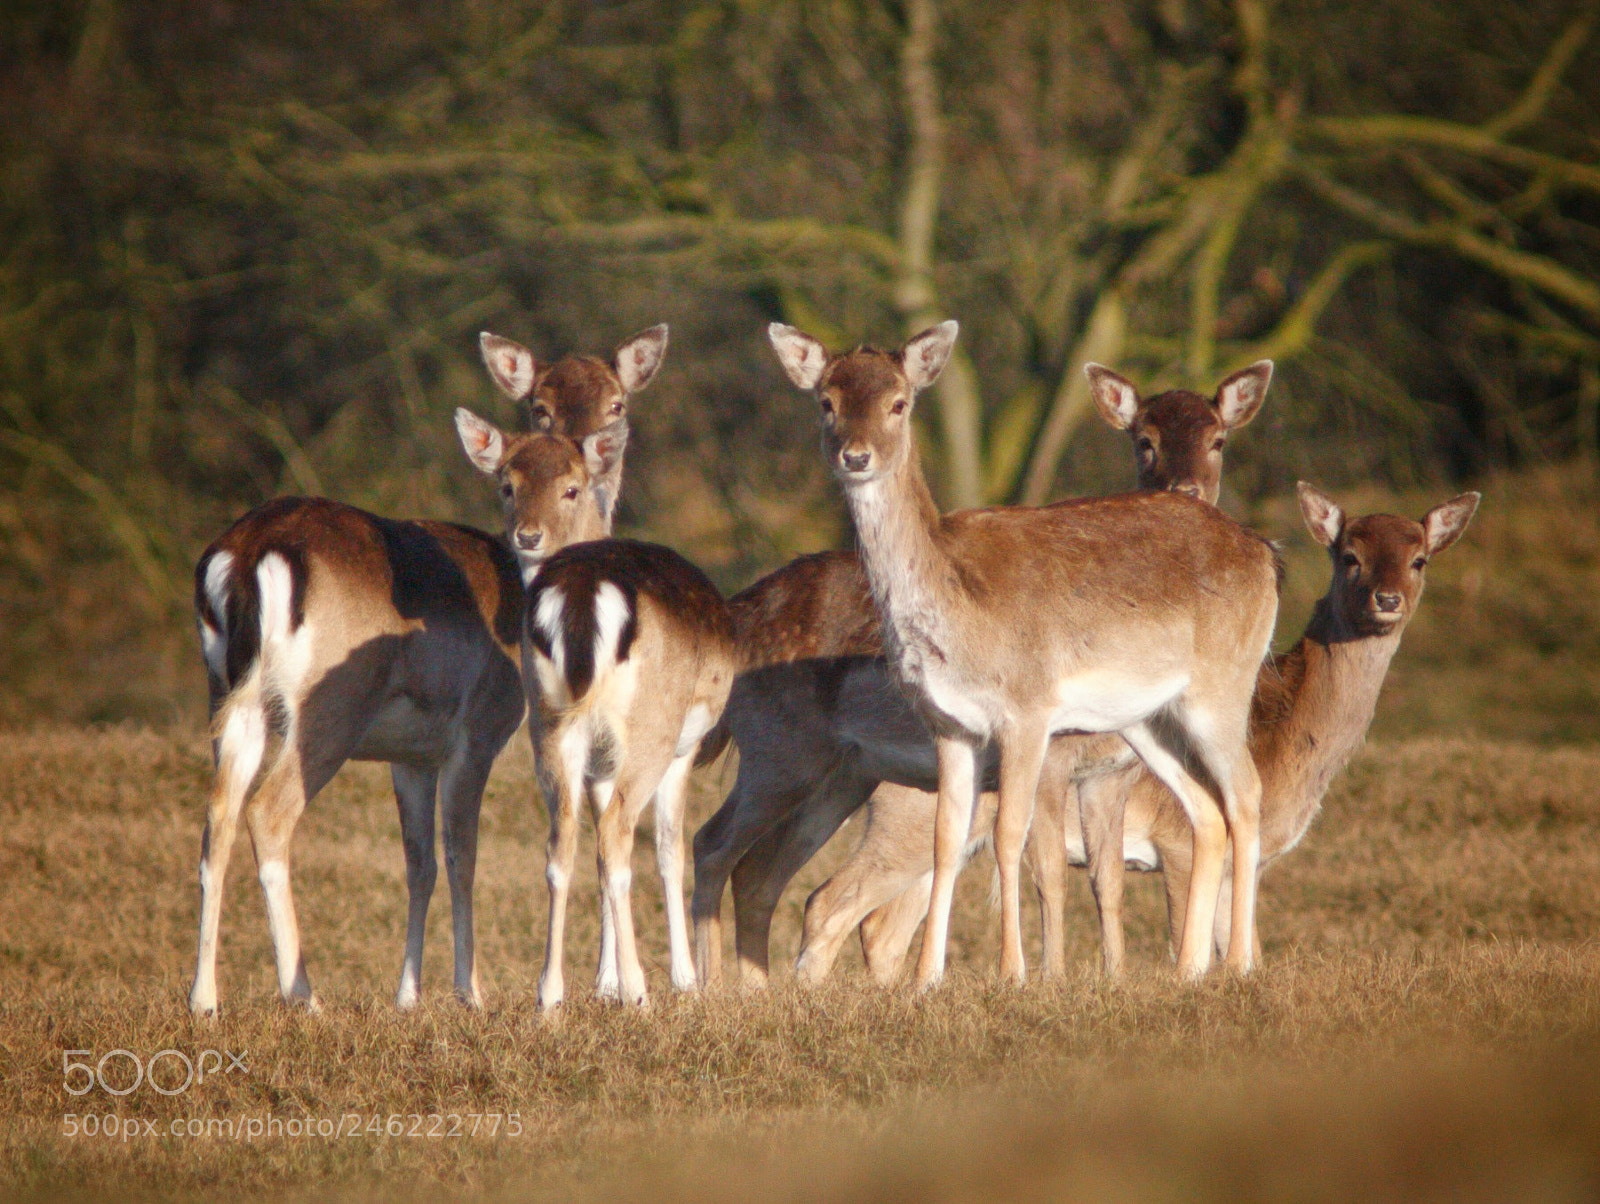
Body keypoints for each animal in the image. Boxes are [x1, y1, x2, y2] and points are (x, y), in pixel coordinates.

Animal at [187, 325, 665, 1017]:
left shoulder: (409, 751)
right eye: (540, 408)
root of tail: (247, 555)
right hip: (327, 708)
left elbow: (419, 861)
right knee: (269, 814)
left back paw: (203, 999)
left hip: (226, 694)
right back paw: (304, 995)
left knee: (216, 818)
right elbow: (463, 852)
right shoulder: (478, 729)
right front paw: (473, 992)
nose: (592, 462)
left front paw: (408, 996)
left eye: (616, 404)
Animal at [523, 538, 736, 1010]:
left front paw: (604, 984)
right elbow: (670, 850)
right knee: (617, 833)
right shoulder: (683, 752)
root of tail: (583, 592)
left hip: (549, 727)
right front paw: (685, 983)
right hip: (652, 734)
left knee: (564, 841)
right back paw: (639, 995)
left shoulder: (599, 768)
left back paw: (549, 999)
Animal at [690, 358, 1273, 987]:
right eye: (1145, 440)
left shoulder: (1102, 771)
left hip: (841, 774)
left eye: (1218, 438)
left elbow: (1104, 874)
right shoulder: (1052, 753)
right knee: (721, 847)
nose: (1186, 490)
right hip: (780, 753)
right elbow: (1048, 864)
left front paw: (1098, 976)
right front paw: (1047, 977)